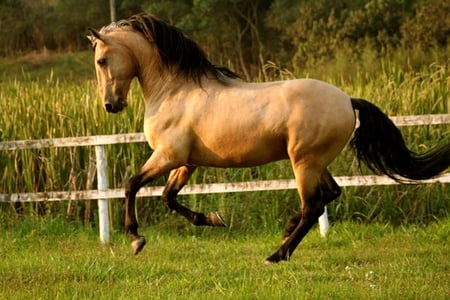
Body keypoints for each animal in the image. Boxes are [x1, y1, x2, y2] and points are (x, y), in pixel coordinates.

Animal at [88, 12, 450, 264]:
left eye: (101, 60)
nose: (111, 105)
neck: (175, 89)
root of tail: (348, 100)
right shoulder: (187, 162)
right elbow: (168, 197)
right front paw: (213, 219)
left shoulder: (168, 155)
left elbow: (132, 185)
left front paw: (136, 239)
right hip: (315, 162)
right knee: (329, 195)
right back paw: (285, 234)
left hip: (304, 162)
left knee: (312, 205)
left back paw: (277, 255)